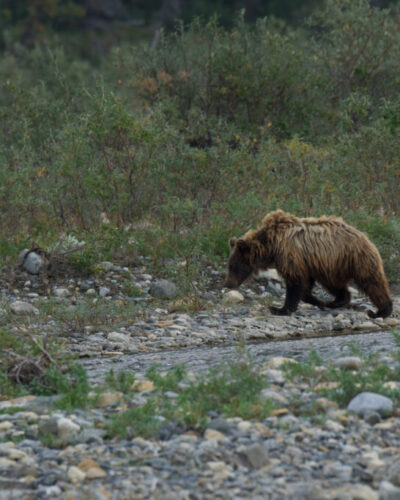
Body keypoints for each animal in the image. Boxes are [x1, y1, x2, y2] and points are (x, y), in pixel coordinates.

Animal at [225, 209, 394, 318]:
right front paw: (319, 301)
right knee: (335, 284)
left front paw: (279, 309)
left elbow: (295, 283)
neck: (270, 246)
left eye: (232, 266)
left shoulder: (290, 255)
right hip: (333, 266)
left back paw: (380, 311)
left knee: (372, 281)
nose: (228, 284)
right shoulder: (307, 262)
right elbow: (304, 285)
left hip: (355, 259)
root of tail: (364, 236)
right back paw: (336, 301)